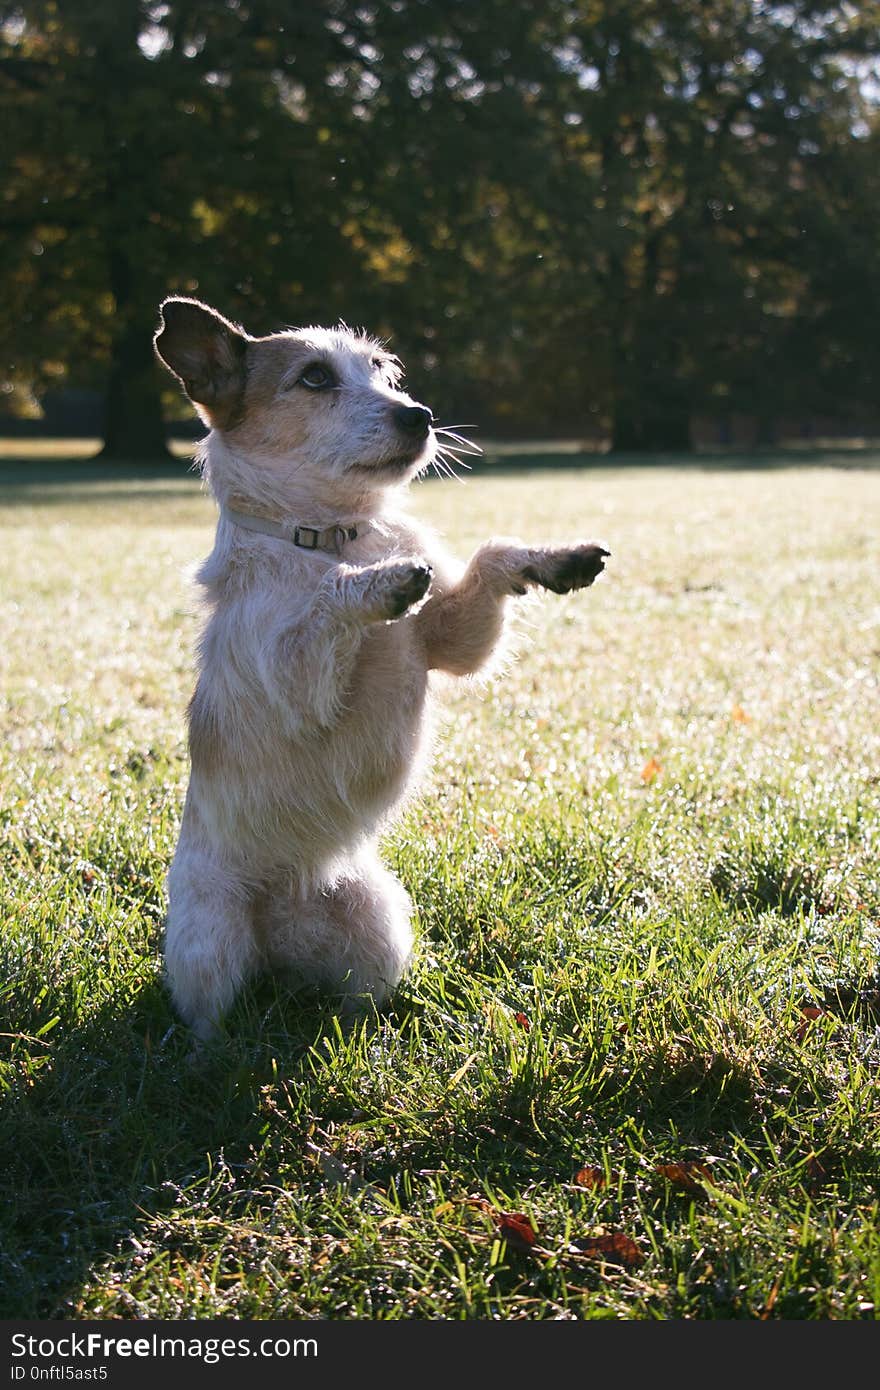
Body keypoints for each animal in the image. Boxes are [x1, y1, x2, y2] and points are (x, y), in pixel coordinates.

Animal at [154, 301, 606, 1045]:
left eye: (381, 372)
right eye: (313, 377)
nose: (420, 415)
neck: (336, 536)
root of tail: (283, 922)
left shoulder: (451, 643)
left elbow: (491, 558)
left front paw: (552, 559)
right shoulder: (296, 682)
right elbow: (328, 606)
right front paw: (383, 583)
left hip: (381, 922)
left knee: (354, 998)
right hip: (209, 940)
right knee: (208, 1018)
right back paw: (209, 1053)